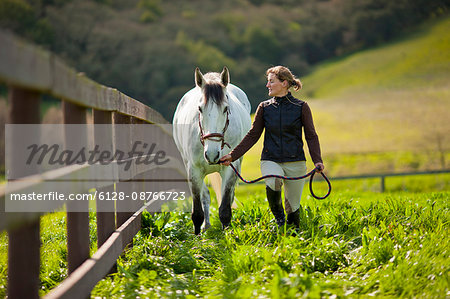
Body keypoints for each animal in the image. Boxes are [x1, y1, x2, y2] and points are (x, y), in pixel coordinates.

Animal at [172, 67, 251, 236]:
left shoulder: (230, 168)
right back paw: (206, 225)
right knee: (206, 196)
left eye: (226, 108)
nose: (212, 154)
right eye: (200, 109)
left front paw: (227, 233)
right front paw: (197, 236)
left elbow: (225, 208)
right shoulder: (193, 171)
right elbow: (197, 211)